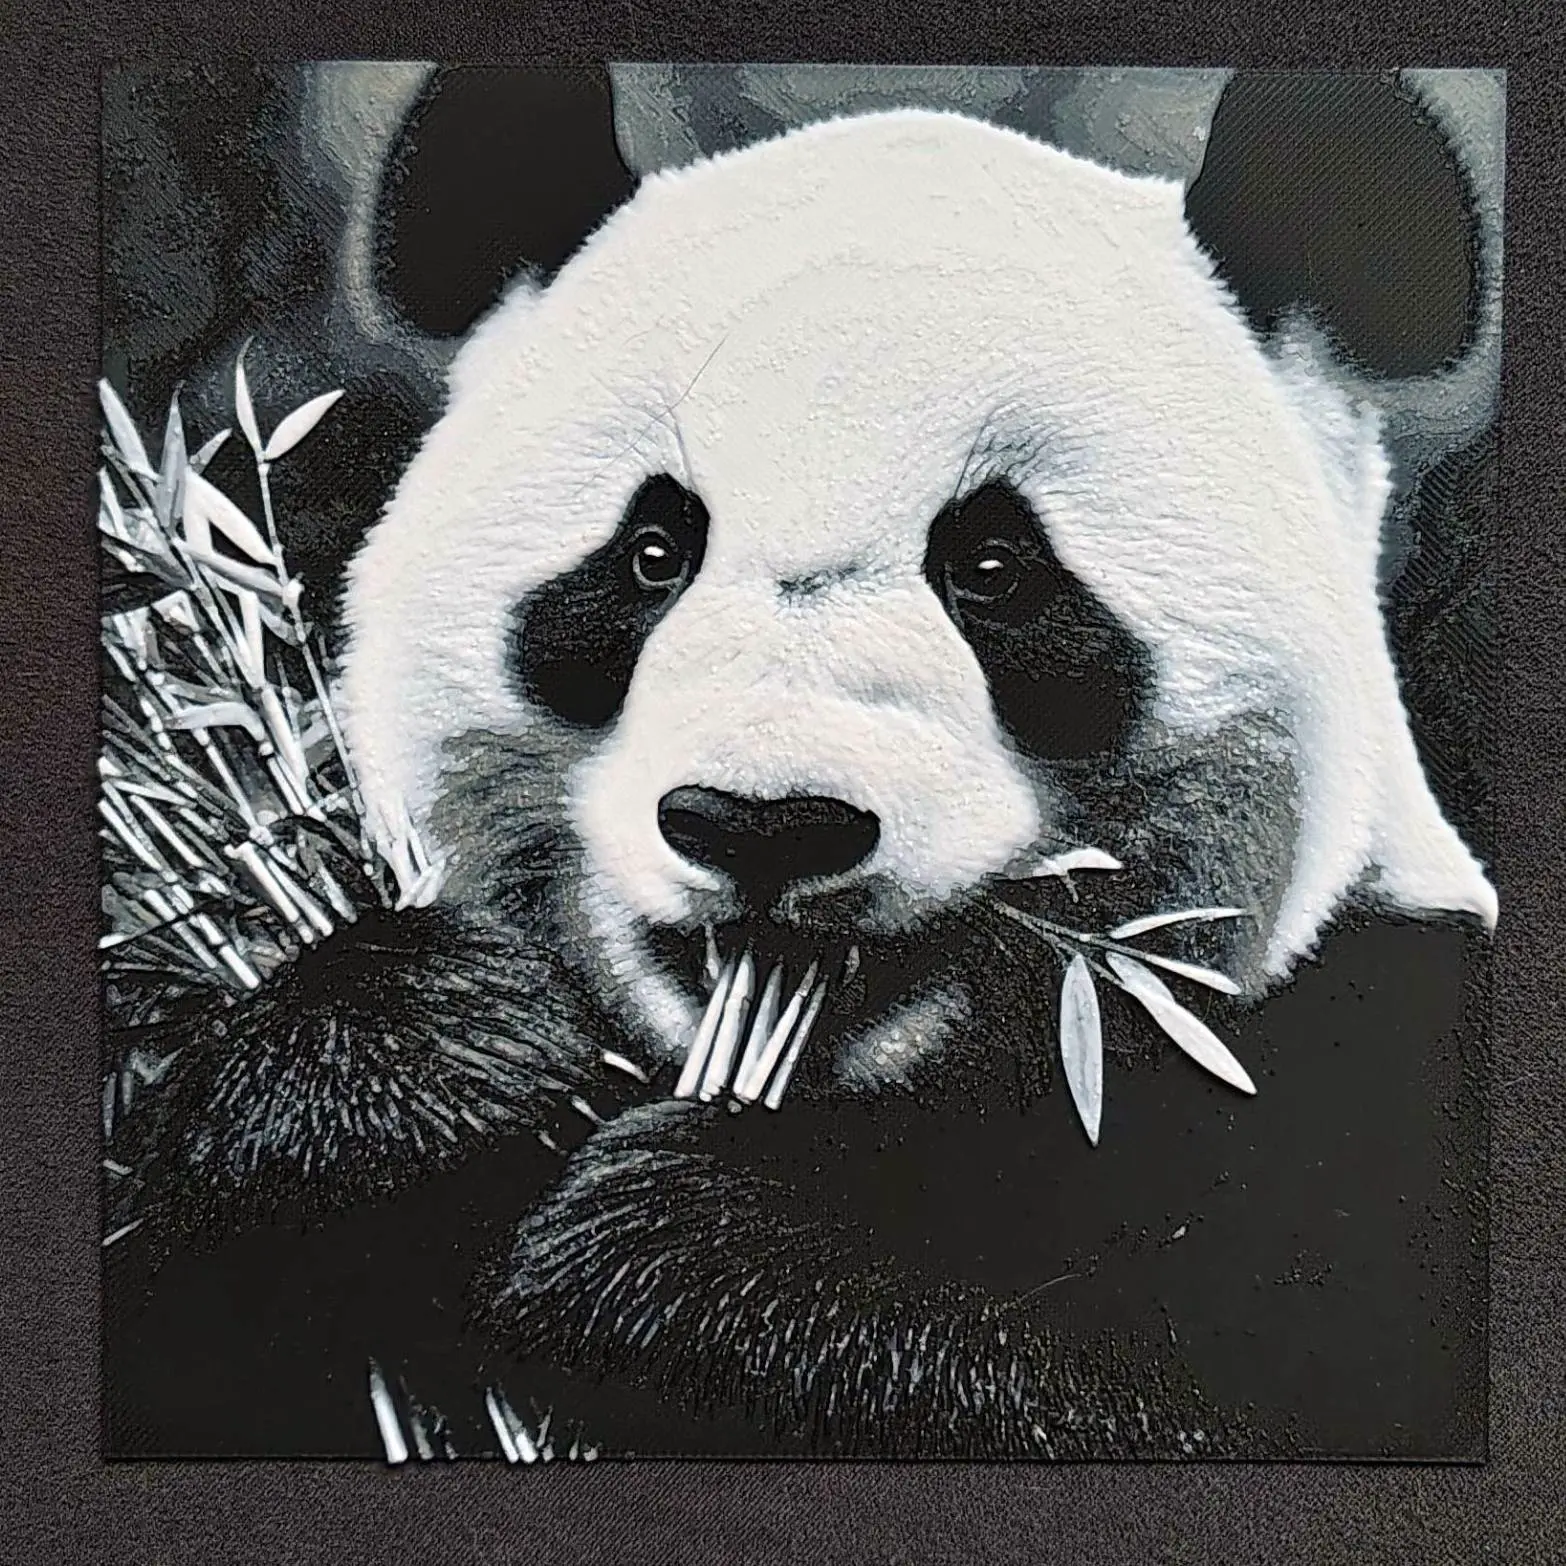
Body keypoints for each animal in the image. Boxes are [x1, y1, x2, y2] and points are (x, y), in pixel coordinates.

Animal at [106, 105, 1496, 1461]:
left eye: (995, 568)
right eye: (652, 551)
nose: (765, 825)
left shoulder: (1368, 1084)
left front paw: (682, 1255)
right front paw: (415, 1071)